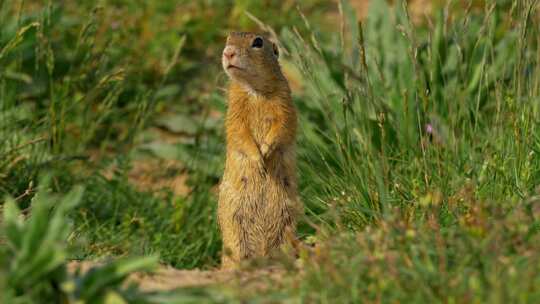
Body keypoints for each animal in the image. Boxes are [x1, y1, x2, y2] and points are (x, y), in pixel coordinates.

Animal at [217, 31, 302, 268]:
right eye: (227, 39)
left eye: (257, 42)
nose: (228, 52)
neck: (254, 90)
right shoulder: (234, 110)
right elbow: (239, 132)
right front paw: (258, 158)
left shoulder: (285, 103)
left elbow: (283, 125)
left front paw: (266, 151)